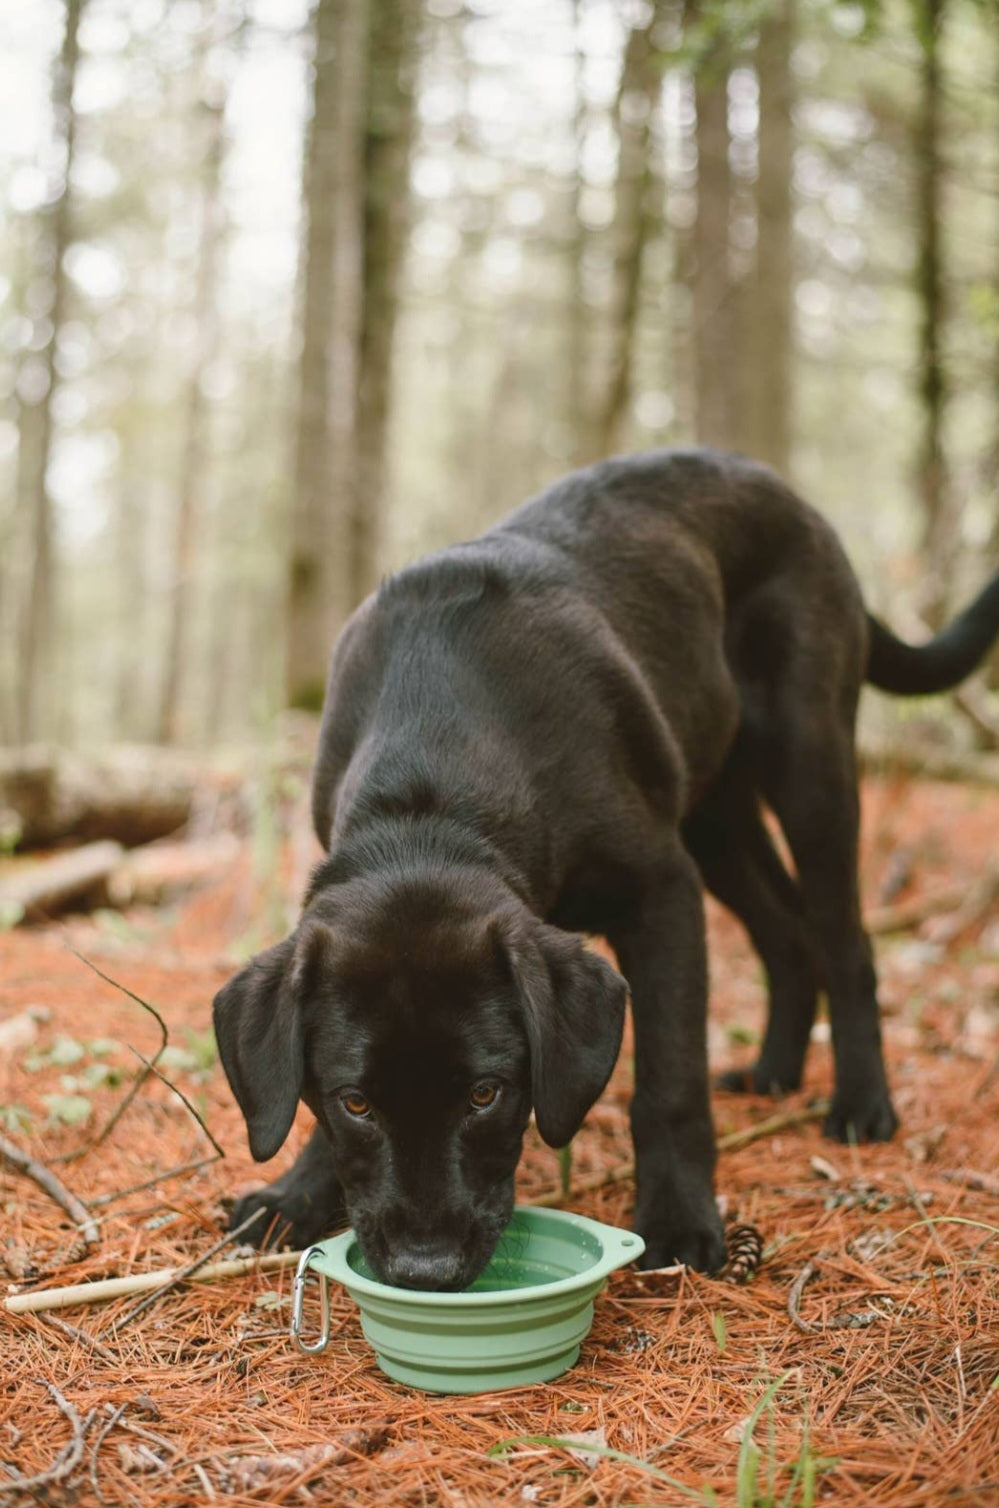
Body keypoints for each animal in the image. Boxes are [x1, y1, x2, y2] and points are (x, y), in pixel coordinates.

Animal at [215, 446, 999, 1284]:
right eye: (355, 1102)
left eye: (486, 1093)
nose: (426, 1267)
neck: (429, 796)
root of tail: (791, 498)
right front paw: (295, 1196)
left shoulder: (660, 893)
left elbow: (669, 1082)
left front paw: (679, 1222)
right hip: (713, 816)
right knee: (786, 935)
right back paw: (771, 1074)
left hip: (807, 764)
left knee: (844, 943)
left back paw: (858, 1104)